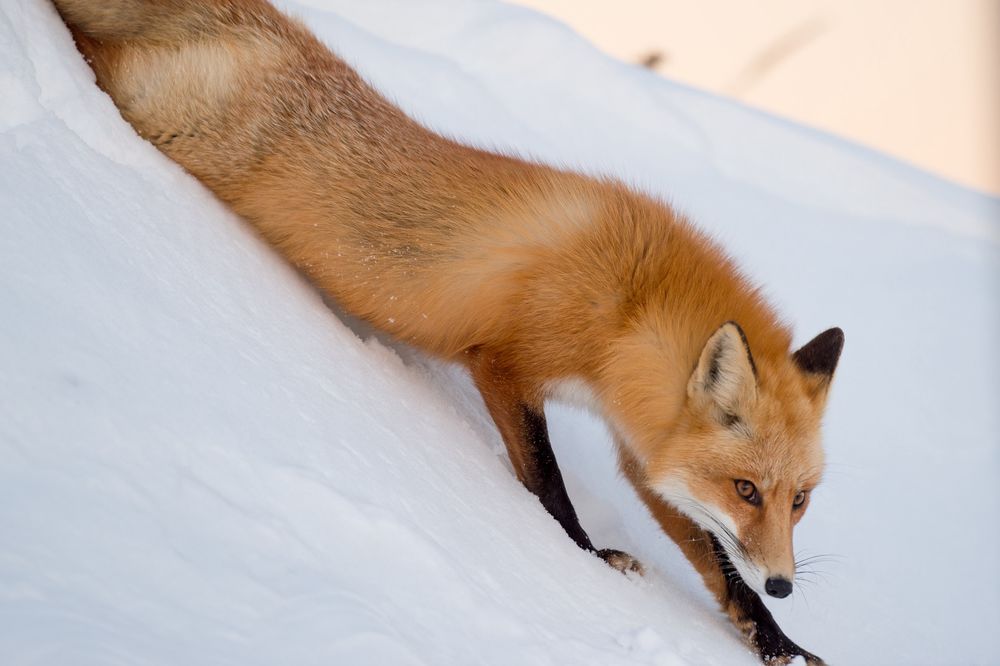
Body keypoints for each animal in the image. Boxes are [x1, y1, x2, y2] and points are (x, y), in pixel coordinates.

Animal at [51, 0, 844, 663]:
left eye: (798, 500)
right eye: (747, 489)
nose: (784, 584)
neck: (627, 303)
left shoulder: (639, 444)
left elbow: (719, 566)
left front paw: (778, 640)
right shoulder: (504, 365)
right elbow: (547, 482)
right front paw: (584, 559)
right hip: (159, 113)